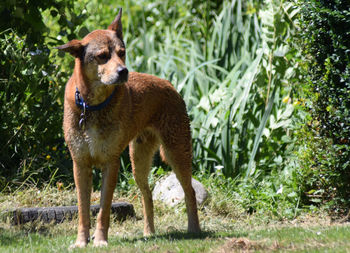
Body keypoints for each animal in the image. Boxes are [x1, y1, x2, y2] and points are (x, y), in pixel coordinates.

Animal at [56, 8, 201, 249]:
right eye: (102, 56)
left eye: (121, 52)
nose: (123, 71)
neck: (93, 106)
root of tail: (170, 85)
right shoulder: (80, 164)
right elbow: (83, 211)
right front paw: (81, 242)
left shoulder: (110, 163)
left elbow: (103, 210)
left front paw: (100, 241)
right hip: (138, 162)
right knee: (147, 194)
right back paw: (149, 232)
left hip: (177, 153)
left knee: (189, 191)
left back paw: (194, 229)